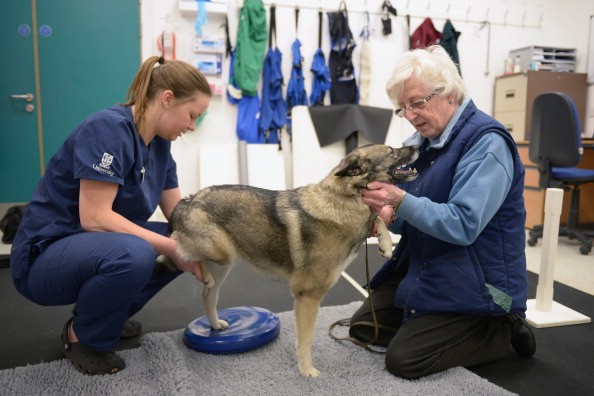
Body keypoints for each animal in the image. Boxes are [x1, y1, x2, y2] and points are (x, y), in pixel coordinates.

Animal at [157, 145, 416, 378]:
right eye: (392, 151)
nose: (414, 146)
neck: (346, 198)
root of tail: (189, 200)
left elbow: (379, 219)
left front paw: (385, 243)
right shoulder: (308, 296)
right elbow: (305, 340)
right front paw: (307, 371)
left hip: (224, 263)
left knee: (207, 294)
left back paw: (214, 319)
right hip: (222, 252)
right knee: (178, 248)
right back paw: (189, 263)